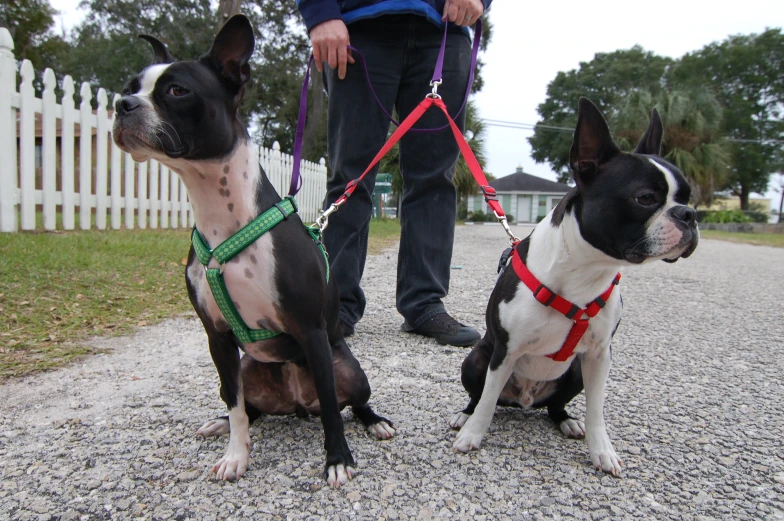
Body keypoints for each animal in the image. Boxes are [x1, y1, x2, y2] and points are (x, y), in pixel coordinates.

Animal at [112, 16, 392, 488]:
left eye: (177, 90)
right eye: (130, 86)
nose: (121, 104)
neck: (225, 219)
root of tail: (297, 404)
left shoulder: (311, 332)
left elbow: (332, 411)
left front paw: (337, 459)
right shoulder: (218, 338)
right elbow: (237, 405)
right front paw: (236, 455)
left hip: (348, 367)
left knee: (348, 402)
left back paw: (375, 421)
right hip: (248, 367)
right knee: (249, 406)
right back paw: (221, 423)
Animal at [450, 98, 700, 476]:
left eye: (689, 196)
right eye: (645, 198)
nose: (689, 214)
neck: (586, 270)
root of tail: (524, 400)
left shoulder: (598, 357)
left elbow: (597, 411)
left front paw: (602, 451)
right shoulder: (505, 351)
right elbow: (488, 400)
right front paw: (473, 435)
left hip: (576, 372)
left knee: (555, 406)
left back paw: (566, 420)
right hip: (477, 358)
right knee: (481, 395)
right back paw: (465, 416)